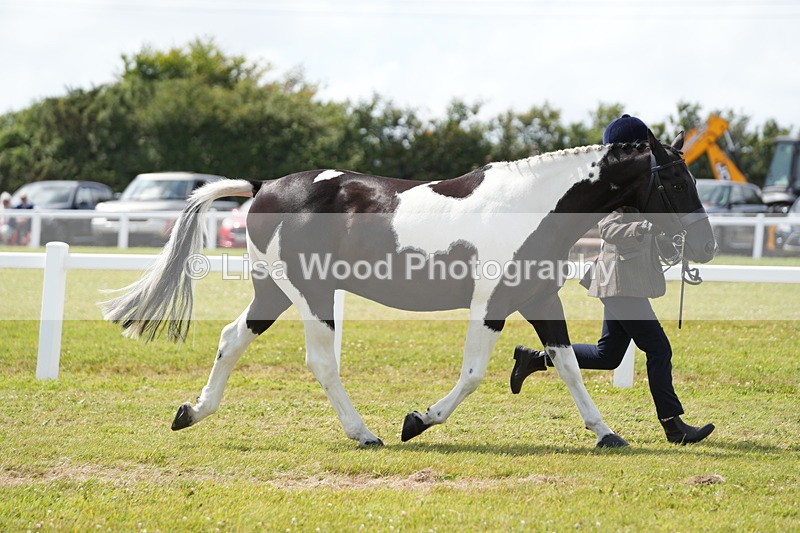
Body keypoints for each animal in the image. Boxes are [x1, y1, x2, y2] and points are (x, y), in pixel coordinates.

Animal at [101, 129, 716, 448]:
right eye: (677, 177)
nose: (706, 246)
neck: (530, 206)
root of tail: (263, 186)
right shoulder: (491, 303)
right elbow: (473, 374)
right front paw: (417, 421)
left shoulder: (539, 298)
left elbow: (564, 364)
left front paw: (606, 433)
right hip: (312, 295)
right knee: (320, 361)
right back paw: (364, 432)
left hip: (273, 293)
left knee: (232, 338)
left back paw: (191, 412)